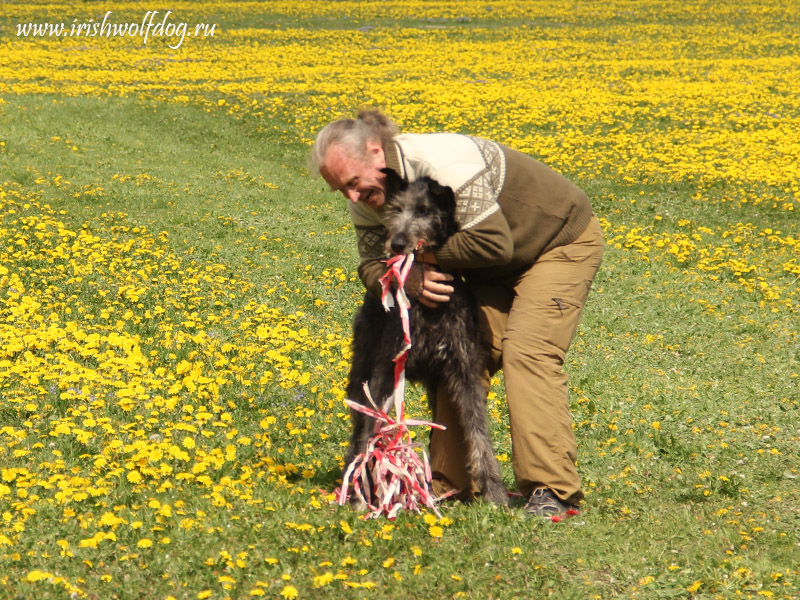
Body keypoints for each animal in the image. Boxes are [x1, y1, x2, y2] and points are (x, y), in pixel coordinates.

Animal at [342, 169, 506, 506]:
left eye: (423, 211)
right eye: (396, 208)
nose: (397, 243)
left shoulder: (464, 372)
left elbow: (478, 431)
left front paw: (494, 490)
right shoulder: (385, 370)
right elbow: (370, 428)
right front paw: (363, 494)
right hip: (361, 369)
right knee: (358, 423)